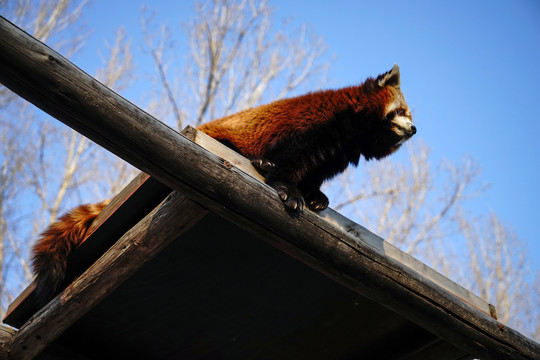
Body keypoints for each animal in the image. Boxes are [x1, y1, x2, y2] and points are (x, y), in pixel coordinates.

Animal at [31, 65, 416, 304]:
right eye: (401, 112)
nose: (414, 130)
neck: (352, 133)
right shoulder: (315, 126)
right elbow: (291, 160)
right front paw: (289, 190)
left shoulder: (335, 155)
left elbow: (315, 173)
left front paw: (316, 196)